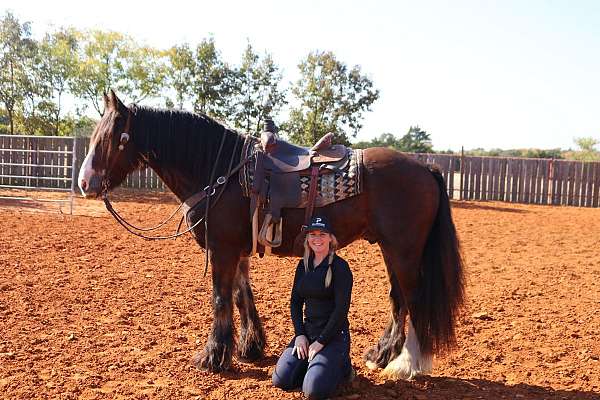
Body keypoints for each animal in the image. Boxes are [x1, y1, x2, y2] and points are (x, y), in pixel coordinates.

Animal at [78, 89, 464, 380]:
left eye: (117, 138)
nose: (85, 183)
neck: (221, 171)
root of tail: (425, 167)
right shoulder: (237, 250)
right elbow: (241, 295)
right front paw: (250, 347)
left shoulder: (222, 249)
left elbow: (220, 298)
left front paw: (213, 356)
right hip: (391, 249)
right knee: (398, 299)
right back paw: (382, 354)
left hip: (404, 251)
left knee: (412, 298)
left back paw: (407, 364)